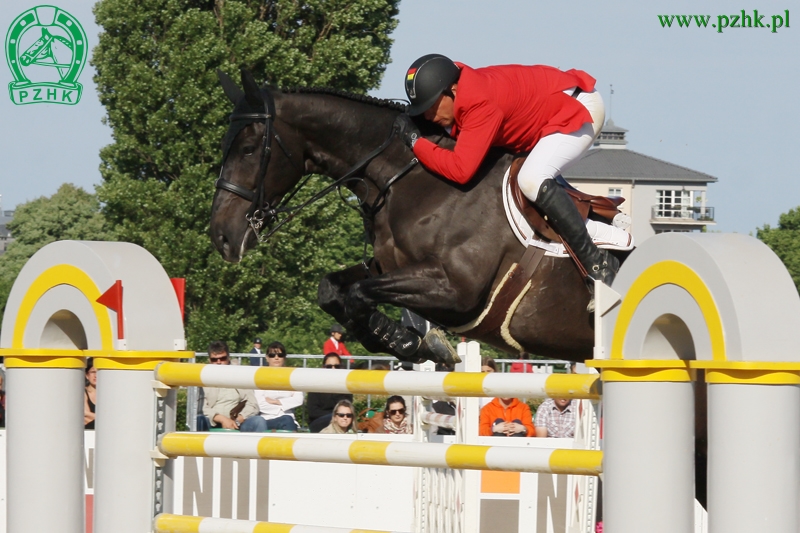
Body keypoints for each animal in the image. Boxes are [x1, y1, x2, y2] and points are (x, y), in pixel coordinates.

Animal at [206, 70, 608, 366]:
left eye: (248, 149)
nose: (221, 237)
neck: (410, 178)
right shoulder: (388, 265)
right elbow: (332, 290)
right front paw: (408, 342)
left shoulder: (454, 289)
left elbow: (358, 294)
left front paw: (411, 342)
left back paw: (601, 272)